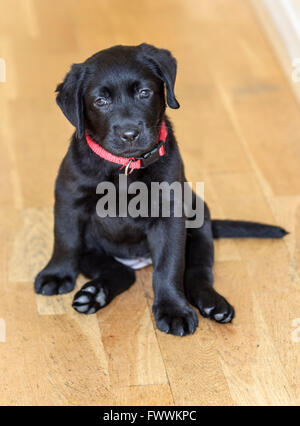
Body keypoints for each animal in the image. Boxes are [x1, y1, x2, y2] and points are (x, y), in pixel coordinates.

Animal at [34, 44, 288, 336]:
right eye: (100, 101)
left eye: (145, 93)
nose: (129, 134)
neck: (125, 168)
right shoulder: (69, 197)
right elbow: (65, 240)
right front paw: (57, 273)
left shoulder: (170, 215)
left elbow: (169, 266)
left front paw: (173, 309)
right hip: (95, 251)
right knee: (122, 273)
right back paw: (93, 294)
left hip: (200, 223)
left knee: (197, 274)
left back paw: (214, 304)